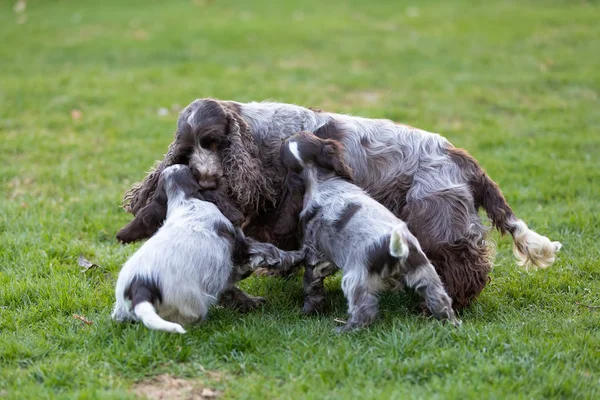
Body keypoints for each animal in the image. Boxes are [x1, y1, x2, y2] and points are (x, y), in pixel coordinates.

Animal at [111, 164, 304, 332]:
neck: (185, 201)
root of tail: (140, 286)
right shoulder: (242, 246)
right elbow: (272, 252)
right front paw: (299, 255)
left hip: (122, 309)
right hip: (190, 302)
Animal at [122, 98, 564, 308]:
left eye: (214, 143)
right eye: (187, 150)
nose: (205, 178)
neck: (257, 139)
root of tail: (459, 156)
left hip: (435, 216)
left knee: (466, 264)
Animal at [280, 131, 460, 332]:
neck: (320, 180)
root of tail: (397, 250)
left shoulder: (313, 253)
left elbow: (311, 285)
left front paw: (308, 311)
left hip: (355, 278)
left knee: (364, 311)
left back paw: (344, 330)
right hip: (425, 272)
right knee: (441, 301)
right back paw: (451, 324)